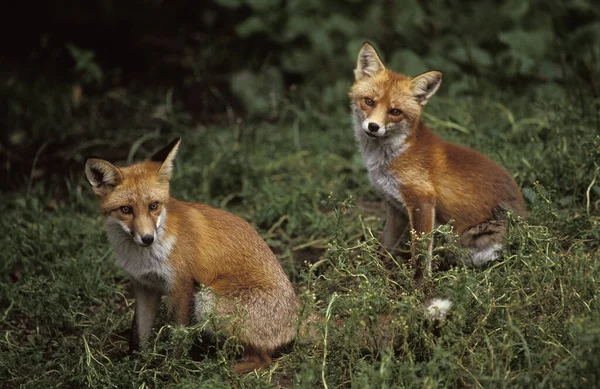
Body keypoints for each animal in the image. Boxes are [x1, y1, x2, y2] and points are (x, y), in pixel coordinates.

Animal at [83, 137, 298, 372]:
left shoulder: (181, 285)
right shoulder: (144, 286)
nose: (147, 238)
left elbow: (178, 336)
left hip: (207, 299)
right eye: (126, 210)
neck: (143, 257)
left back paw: (222, 368)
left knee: (264, 359)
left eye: (154, 206)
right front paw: (140, 364)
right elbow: (140, 334)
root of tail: (296, 320)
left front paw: (171, 369)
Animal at [350, 43, 528, 284]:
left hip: (482, 242)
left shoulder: (422, 201)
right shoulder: (395, 207)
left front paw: (418, 288)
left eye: (395, 111)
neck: (392, 155)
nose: (373, 127)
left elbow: (420, 255)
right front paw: (376, 272)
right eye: (369, 101)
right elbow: (385, 246)